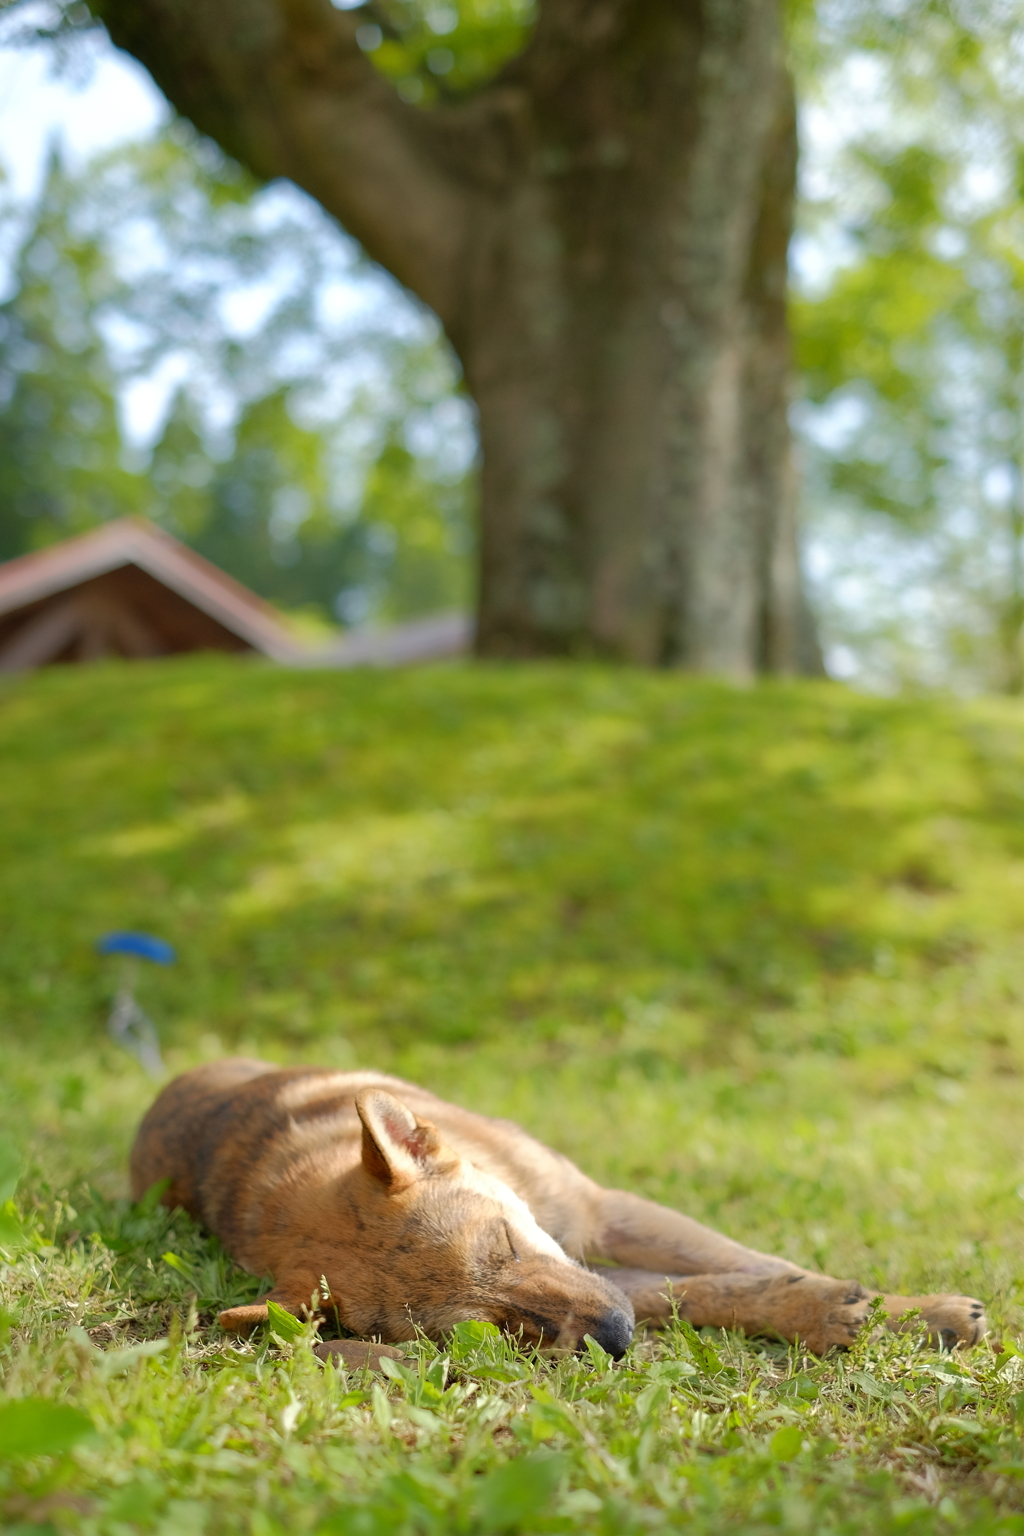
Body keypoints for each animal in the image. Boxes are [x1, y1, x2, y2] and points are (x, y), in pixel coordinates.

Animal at [132, 1056, 988, 1357]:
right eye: (487, 1327)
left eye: (505, 1243)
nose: (614, 1339)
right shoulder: (606, 1273)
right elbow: (716, 1294)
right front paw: (842, 1315)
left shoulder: (602, 1215)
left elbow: (755, 1267)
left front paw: (898, 1309)